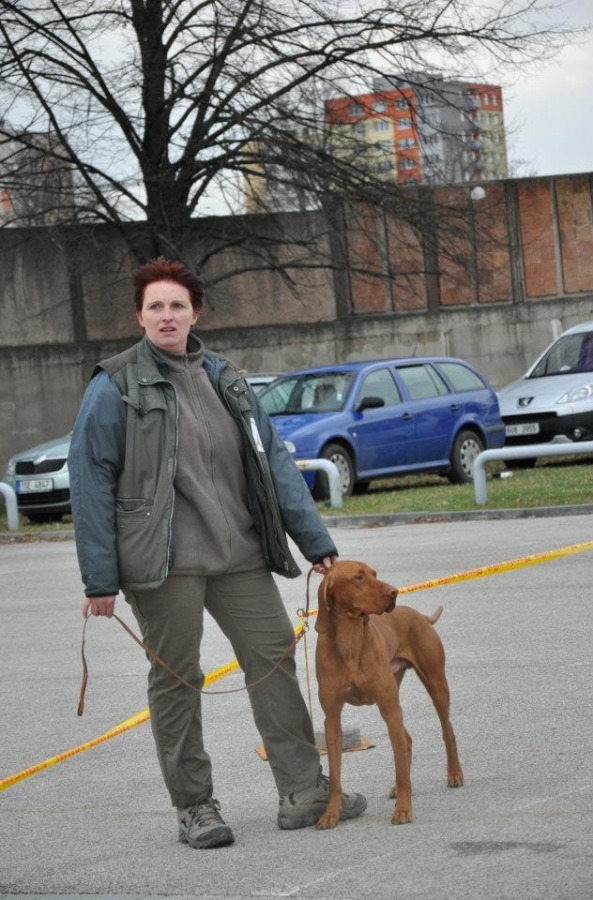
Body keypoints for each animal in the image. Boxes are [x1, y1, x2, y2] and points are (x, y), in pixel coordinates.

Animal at [314, 560, 464, 828]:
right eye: (358, 577)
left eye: (374, 573)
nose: (394, 592)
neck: (350, 640)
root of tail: (419, 615)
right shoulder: (332, 719)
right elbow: (335, 774)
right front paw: (331, 814)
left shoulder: (390, 707)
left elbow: (400, 768)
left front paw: (403, 810)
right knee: (407, 740)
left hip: (435, 685)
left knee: (447, 731)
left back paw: (454, 774)